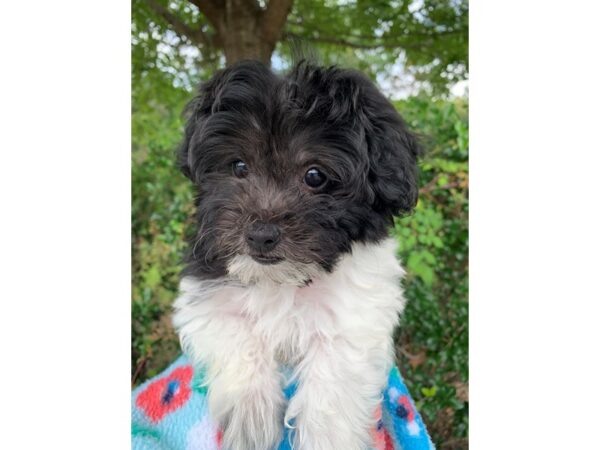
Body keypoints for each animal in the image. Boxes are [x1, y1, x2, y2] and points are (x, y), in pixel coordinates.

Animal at [171, 60, 420, 450]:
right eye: (239, 166)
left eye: (315, 175)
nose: (260, 235)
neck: (284, 281)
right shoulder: (206, 296)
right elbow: (237, 338)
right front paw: (252, 419)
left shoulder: (357, 317)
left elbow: (333, 382)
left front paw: (325, 439)